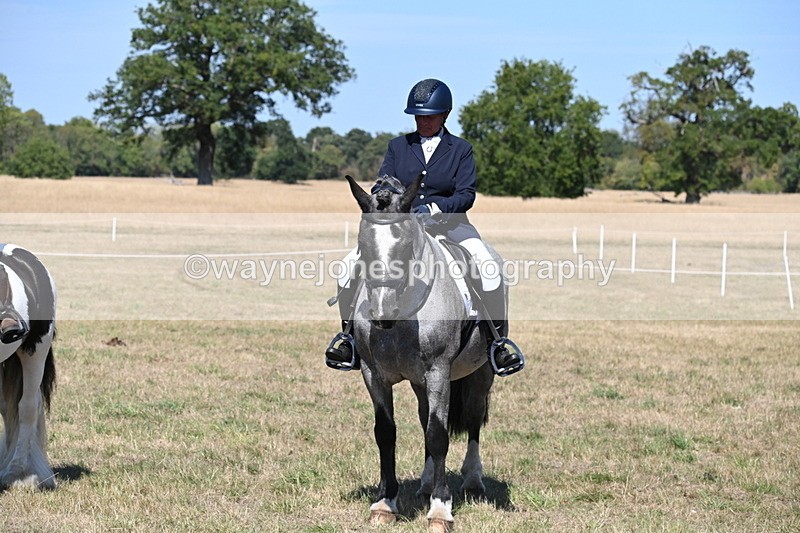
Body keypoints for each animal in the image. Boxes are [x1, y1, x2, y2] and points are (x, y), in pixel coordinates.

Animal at [344, 174, 505, 532]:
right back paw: (427, 481)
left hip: (480, 373)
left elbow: (439, 434)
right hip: (419, 383)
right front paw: (385, 503)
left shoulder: (439, 373)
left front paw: (440, 510)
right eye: (363, 243)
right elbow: (386, 432)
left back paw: (472, 480)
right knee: (423, 418)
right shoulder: (374, 374)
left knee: (472, 419)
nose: (382, 313)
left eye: (405, 245)